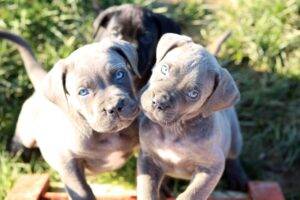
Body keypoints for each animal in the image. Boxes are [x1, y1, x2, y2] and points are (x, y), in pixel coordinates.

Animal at [0, 30, 140, 199]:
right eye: (83, 92)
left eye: (120, 74)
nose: (114, 107)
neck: (108, 134)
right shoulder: (68, 163)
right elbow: (82, 192)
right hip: (26, 134)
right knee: (19, 142)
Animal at [137, 33, 247, 199]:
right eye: (164, 69)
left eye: (193, 94)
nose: (159, 102)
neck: (173, 130)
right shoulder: (147, 157)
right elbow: (147, 187)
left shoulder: (213, 166)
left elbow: (195, 193)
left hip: (235, 136)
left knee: (233, 156)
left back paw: (237, 176)